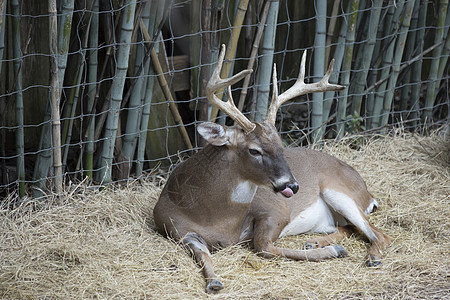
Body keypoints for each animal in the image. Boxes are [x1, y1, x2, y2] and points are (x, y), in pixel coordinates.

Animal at [152, 44, 390, 292]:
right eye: (254, 151)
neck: (217, 219)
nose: (292, 185)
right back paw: (314, 241)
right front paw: (214, 281)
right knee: (350, 229)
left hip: (339, 192)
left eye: (281, 146)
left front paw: (333, 252)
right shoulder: (177, 229)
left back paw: (372, 257)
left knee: (379, 234)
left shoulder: (276, 210)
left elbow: (263, 246)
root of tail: (368, 194)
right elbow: (203, 253)